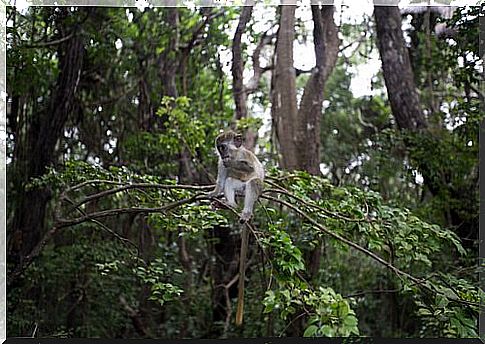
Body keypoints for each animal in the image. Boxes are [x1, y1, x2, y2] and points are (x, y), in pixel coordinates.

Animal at [206, 130, 262, 326]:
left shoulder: (244, 156)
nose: (223, 155)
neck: (235, 153)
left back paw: (245, 212)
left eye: (223, 147)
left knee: (252, 183)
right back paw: (229, 203)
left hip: (250, 190)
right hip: (239, 189)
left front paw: (232, 163)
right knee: (230, 180)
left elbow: (250, 169)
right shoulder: (220, 163)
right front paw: (214, 193)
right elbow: (222, 178)